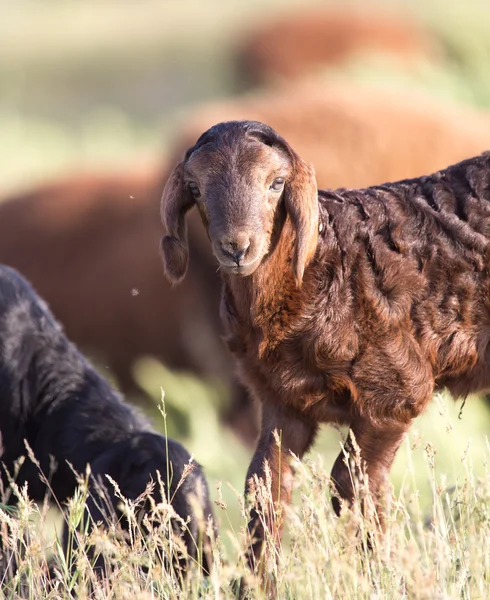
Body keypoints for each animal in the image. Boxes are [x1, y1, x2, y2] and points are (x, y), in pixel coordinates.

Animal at [160, 118, 490, 592]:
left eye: (276, 184)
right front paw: (256, 585)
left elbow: (354, 487)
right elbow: (265, 486)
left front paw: (379, 580)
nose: (236, 248)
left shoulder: (394, 393)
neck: (319, 267)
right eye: (195, 188)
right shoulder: (282, 400)